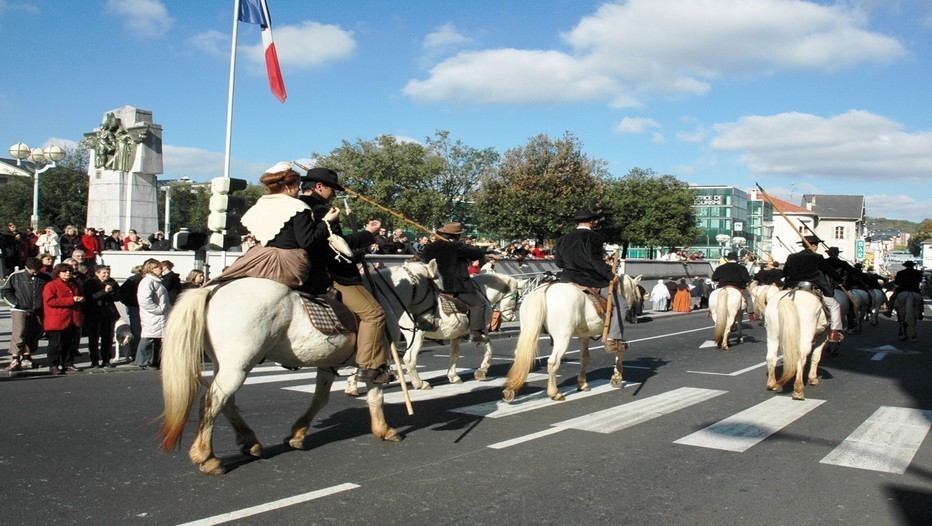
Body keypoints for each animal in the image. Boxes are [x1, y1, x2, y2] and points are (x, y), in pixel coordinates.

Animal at [158, 280, 398, 478]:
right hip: (238, 366)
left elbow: (319, 399)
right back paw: (206, 457)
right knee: (212, 401)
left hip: (228, 366)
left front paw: (297, 435)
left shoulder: (327, 365)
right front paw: (384, 430)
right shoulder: (376, 358)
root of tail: (211, 291)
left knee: (226, 401)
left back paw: (249, 442)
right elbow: (375, 395)